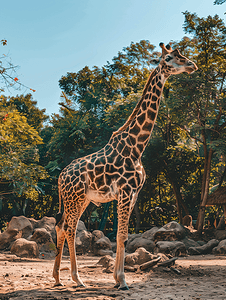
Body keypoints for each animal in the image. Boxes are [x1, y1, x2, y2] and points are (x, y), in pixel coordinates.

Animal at [53, 43, 198, 290]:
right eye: (169, 58)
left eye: (181, 55)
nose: (192, 65)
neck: (137, 147)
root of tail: (61, 176)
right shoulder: (125, 191)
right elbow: (120, 236)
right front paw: (121, 280)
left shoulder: (134, 195)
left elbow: (125, 236)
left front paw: (116, 278)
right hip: (75, 198)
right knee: (70, 229)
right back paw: (77, 278)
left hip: (82, 200)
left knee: (61, 226)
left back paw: (57, 278)